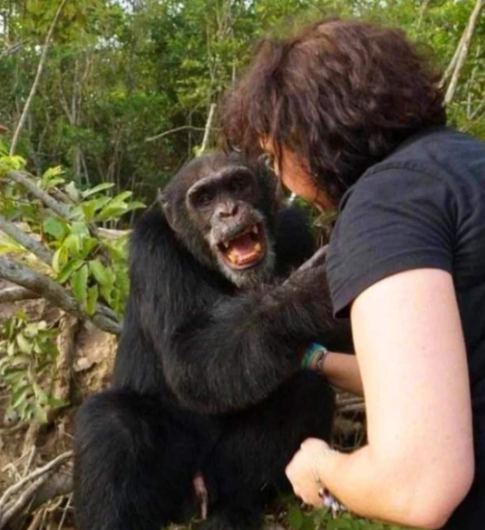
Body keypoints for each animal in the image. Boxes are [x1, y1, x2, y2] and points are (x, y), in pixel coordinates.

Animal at [73, 151, 350, 528]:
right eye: (204, 198)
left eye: (237, 184)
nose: (228, 211)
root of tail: (192, 503)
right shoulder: (154, 251)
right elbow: (188, 357)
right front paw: (305, 293)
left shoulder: (296, 228)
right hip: (167, 490)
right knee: (109, 422)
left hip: (217, 476)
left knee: (307, 391)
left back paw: (234, 510)